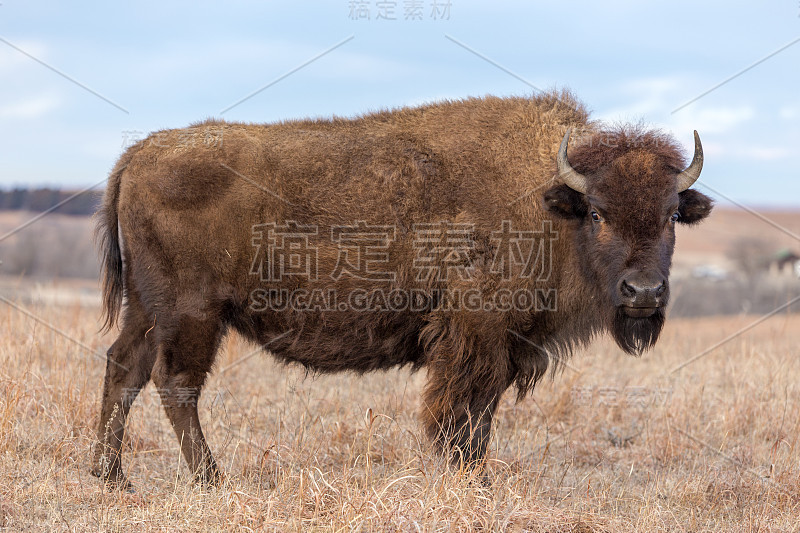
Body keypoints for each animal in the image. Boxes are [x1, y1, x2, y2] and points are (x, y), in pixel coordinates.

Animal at [90, 89, 708, 488]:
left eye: (672, 215)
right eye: (598, 213)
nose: (643, 292)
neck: (551, 204)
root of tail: (139, 153)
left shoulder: (502, 346)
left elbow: (482, 414)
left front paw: (475, 477)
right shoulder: (476, 336)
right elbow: (463, 412)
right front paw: (472, 480)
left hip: (148, 309)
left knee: (125, 367)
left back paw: (110, 476)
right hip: (192, 313)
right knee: (175, 383)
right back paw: (211, 479)